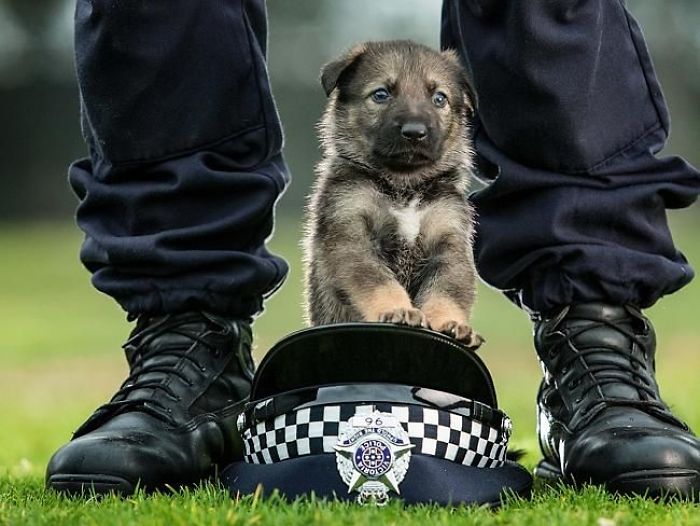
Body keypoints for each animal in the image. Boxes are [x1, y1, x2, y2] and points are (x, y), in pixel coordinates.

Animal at [304, 41, 484, 350]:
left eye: (439, 98)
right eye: (381, 94)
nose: (415, 132)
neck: (404, 187)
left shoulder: (449, 244)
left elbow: (446, 292)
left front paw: (452, 324)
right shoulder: (351, 235)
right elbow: (379, 282)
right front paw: (398, 309)